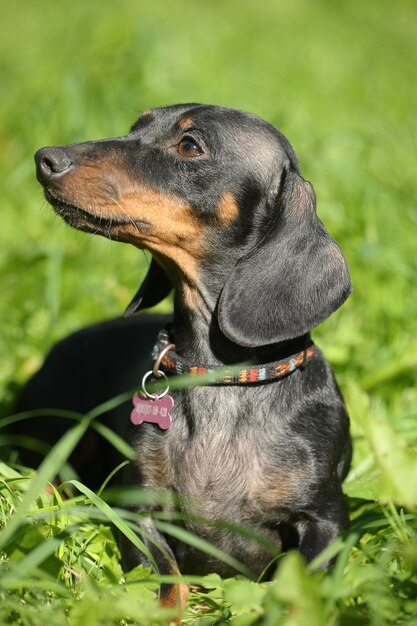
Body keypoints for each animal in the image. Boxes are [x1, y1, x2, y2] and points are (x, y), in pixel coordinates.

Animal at [18, 106, 352, 608]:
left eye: (190, 146)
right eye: (135, 126)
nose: (45, 158)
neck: (222, 379)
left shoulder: (325, 521)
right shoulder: (139, 509)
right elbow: (166, 584)